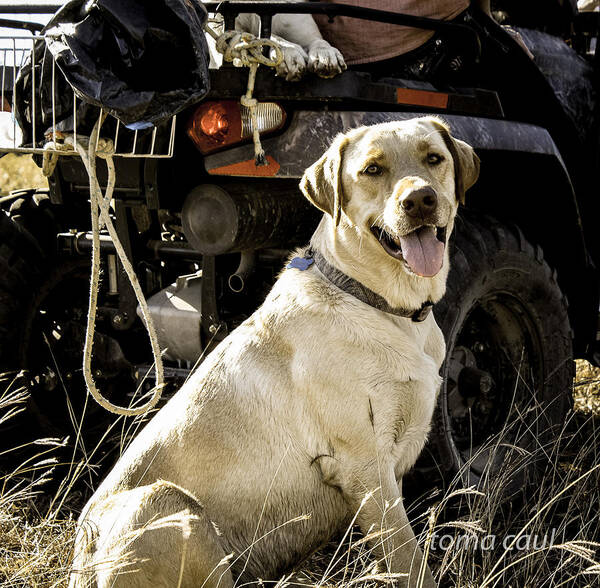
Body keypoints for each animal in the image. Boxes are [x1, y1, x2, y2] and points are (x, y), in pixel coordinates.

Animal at [70, 117, 480, 584]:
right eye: (372, 170)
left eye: (434, 158)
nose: (420, 200)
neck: (377, 302)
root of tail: (79, 561)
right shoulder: (365, 465)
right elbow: (410, 560)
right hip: (167, 502)